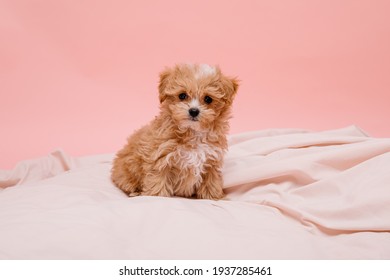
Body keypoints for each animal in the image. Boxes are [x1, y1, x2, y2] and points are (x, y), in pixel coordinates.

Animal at [109, 63, 238, 199]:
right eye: (182, 95)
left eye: (208, 99)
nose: (193, 111)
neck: (192, 132)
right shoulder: (160, 158)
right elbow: (157, 181)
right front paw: (157, 196)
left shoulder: (211, 160)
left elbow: (211, 182)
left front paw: (214, 197)